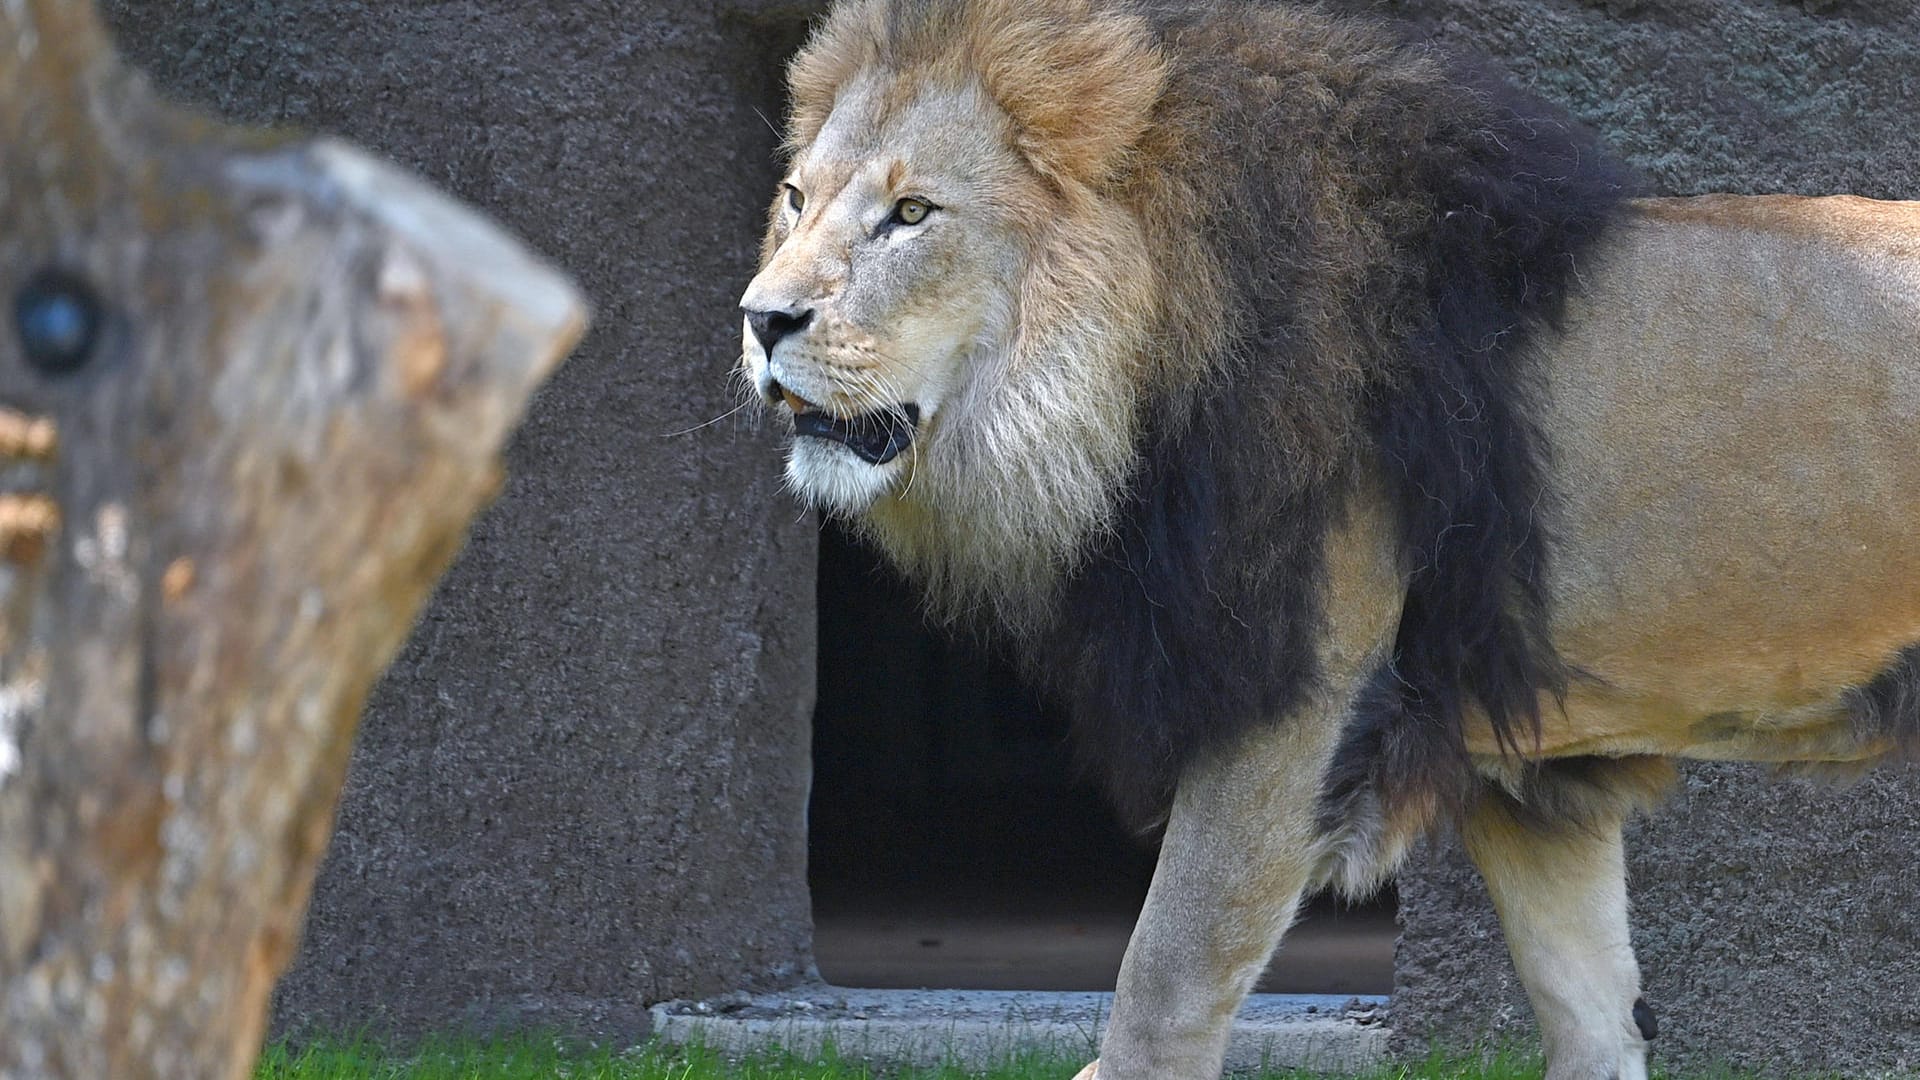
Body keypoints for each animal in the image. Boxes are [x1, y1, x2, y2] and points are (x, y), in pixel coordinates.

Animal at [733, 2, 1920, 1076]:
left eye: (912, 213)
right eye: (794, 200)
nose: (761, 319)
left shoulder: (1293, 708)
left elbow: (1158, 994)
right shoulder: (1531, 780)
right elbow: (1594, 1017)